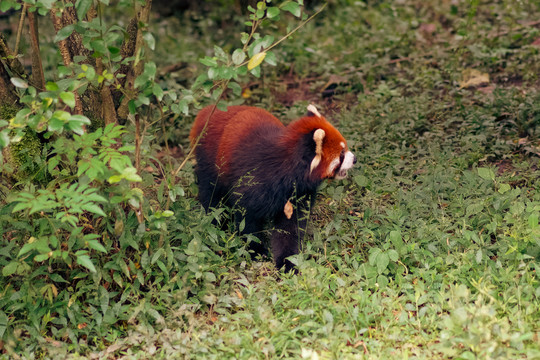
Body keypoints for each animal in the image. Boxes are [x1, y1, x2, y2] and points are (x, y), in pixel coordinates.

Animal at [188, 103, 356, 270]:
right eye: (341, 154)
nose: (354, 159)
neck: (286, 171)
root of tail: (210, 110)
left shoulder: (298, 194)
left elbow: (290, 228)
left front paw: (287, 261)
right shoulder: (252, 183)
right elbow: (247, 222)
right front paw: (255, 250)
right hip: (211, 160)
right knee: (212, 194)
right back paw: (216, 222)